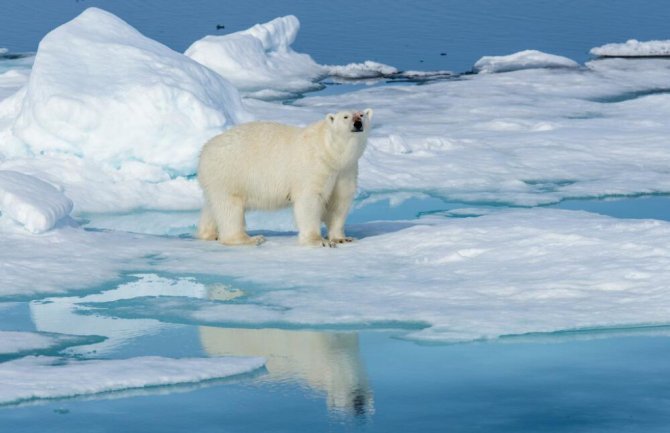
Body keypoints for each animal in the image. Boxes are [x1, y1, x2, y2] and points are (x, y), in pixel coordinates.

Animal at [197, 108, 376, 246]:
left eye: (362, 115)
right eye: (345, 116)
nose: (357, 123)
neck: (331, 152)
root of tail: (205, 149)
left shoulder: (345, 170)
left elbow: (339, 202)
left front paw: (342, 238)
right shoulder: (314, 166)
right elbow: (310, 200)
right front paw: (318, 241)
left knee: (213, 206)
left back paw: (209, 234)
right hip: (230, 172)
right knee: (230, 207)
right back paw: (249, 239)